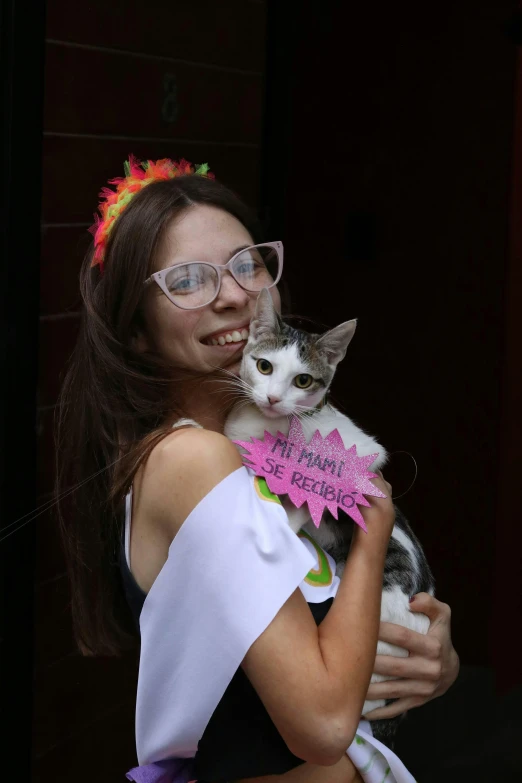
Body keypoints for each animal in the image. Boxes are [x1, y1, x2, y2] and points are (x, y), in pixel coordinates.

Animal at [225, 290, 432, 752]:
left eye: (303, 381)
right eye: (264, 367)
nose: (272, 399)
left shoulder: (359, 458)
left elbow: (303, 503)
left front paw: (283, 523)